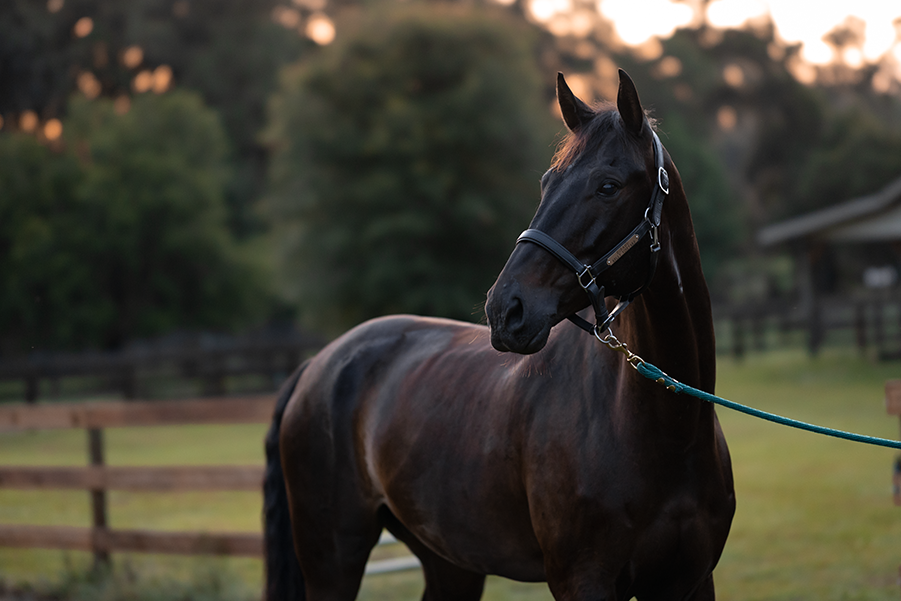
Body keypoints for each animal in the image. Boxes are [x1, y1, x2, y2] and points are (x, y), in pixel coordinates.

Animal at [262, 68, 732, 596]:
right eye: (547, 182)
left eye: (608, 186)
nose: (505, 309)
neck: (667, 432)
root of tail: (315, 367)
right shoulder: (582, 582)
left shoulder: (692, 582)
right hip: (332, 566)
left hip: (451, 564)